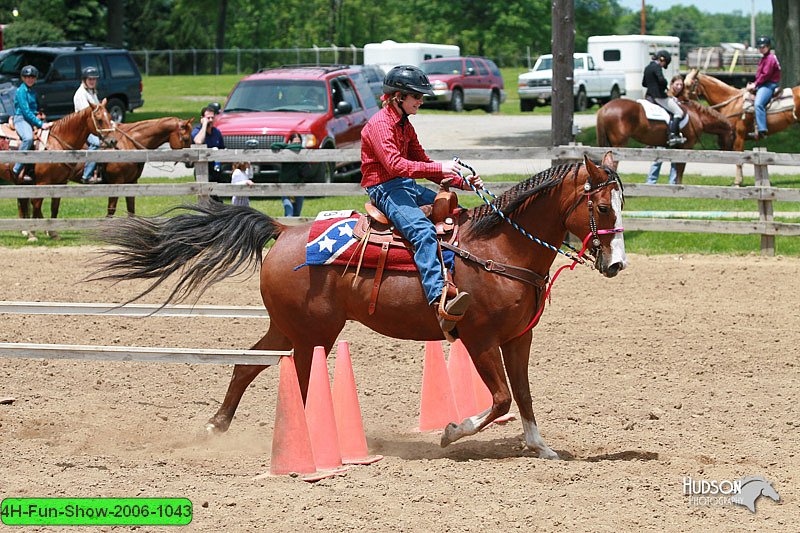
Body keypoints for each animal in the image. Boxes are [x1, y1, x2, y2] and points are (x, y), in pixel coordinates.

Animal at [5, 99, 119, 239]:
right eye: (99, 120)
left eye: (110, 117)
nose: (113, 141)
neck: (57, 144)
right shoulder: (42, 182)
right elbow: (37, 204)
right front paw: (33, 234)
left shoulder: (60, 182)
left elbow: (54, 206)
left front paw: (53, 232)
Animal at [94, 153, 628, 458]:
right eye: (603, 207)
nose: (617, 263)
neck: (499, 248)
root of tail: (284, 231)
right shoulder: (479, 338)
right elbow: (499, 399)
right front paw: (451, 432)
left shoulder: (520, 337)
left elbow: (524, 394)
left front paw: (540, 446)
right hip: (314, 334)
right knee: (297, 381)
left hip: (290, 329)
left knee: (248, 366)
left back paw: (216, 426)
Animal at [596, 97, 736, 183]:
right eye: (733, 137)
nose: (729, 152)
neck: (697, 116)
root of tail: (604, 108)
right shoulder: (687, 146)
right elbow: (681, 167)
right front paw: (679, 185)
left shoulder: (677, 147)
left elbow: (676, 167)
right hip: (619, 144)